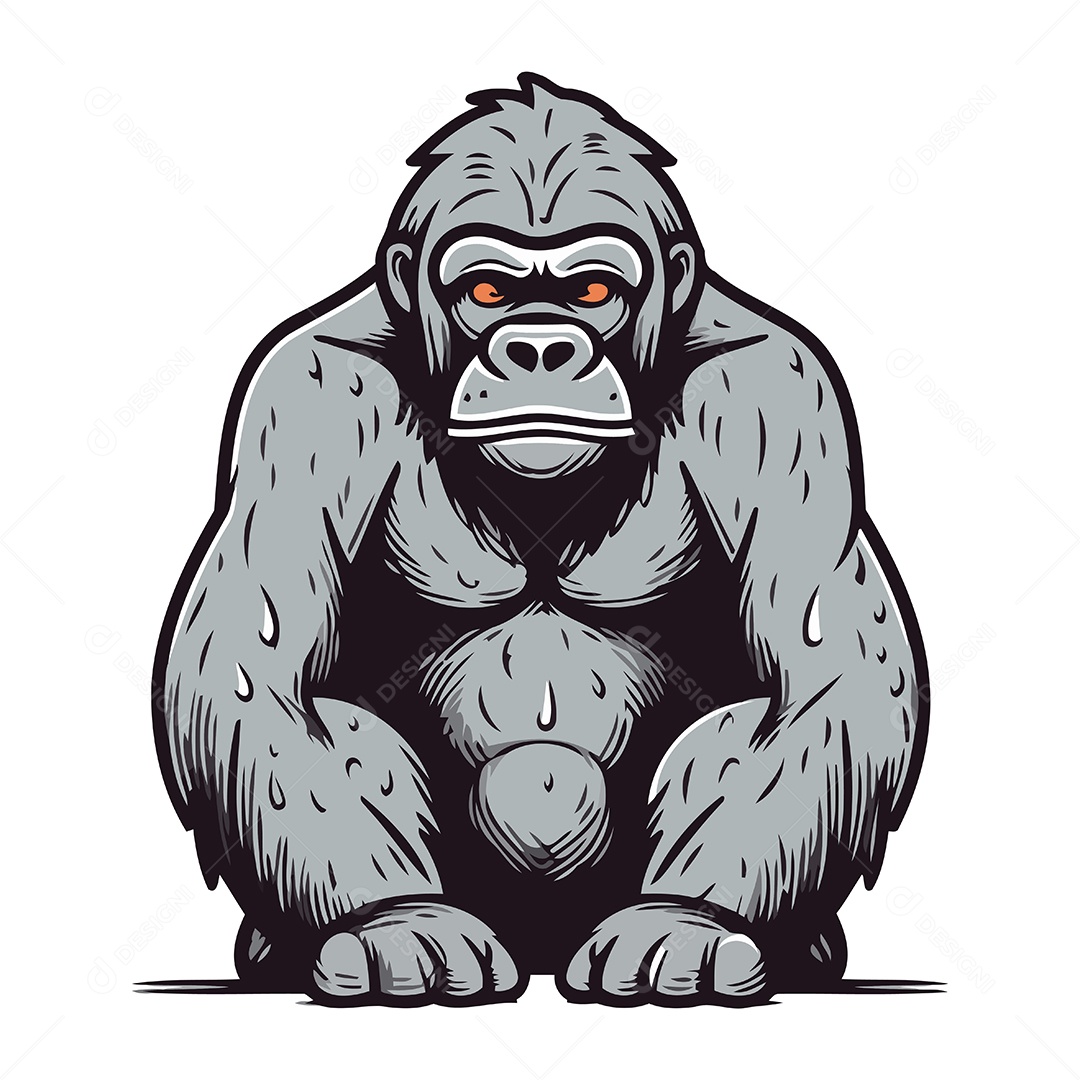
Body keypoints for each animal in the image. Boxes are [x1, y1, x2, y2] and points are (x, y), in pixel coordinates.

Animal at [153, 73, 928, 1006]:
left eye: (591, 293)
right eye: (489, 293)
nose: (540, 347)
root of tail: (543, 949)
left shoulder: (776, 395)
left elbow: (820, 679)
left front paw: (686, 925)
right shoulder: (307, 396)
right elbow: (261, 676)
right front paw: (395, 925)